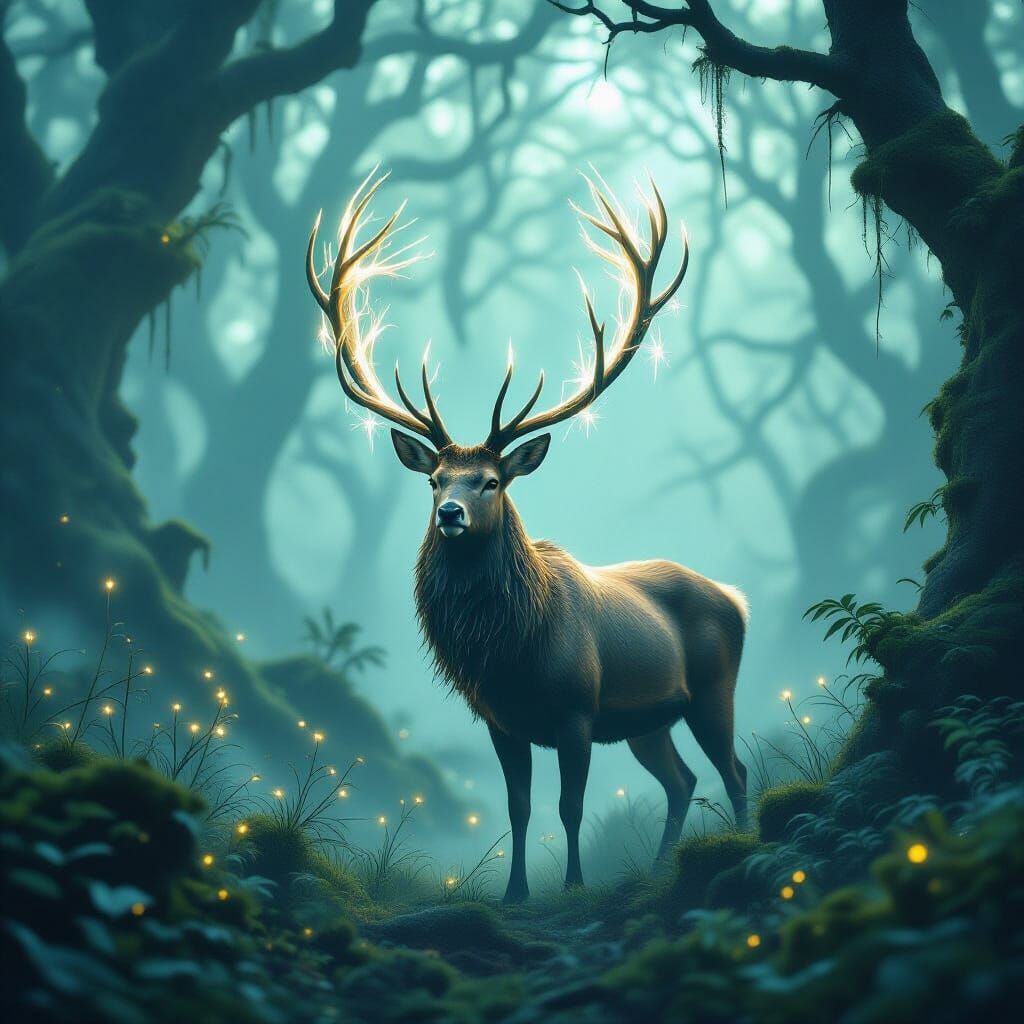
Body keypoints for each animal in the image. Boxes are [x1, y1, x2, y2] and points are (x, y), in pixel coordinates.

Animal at [306, 169, 748, 903]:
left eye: (491, 481)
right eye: (435, 481)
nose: (450, 516)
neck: (512, 650)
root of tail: (736, 598)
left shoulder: (577, 711)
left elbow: (570, 807)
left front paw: (571, 886)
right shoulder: (501, 720)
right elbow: (518, 807)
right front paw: (514, 892)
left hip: (714, 688)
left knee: (732, 771)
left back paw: (743, 843)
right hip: (649, 720)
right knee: (682, 780)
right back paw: (660, 870)